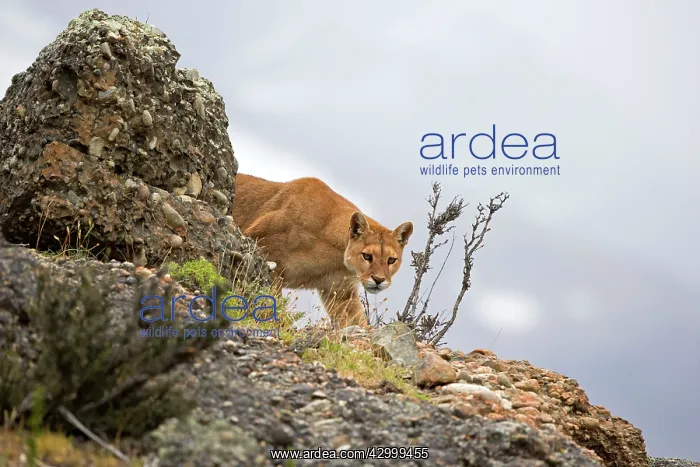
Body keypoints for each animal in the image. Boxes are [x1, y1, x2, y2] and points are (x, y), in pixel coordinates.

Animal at [231, 173, 413, 328]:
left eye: (391, 260)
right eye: (367, 256)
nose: (378, 280)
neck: (337, 258)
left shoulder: (341, 293)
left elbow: (357, 323)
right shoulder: (268, 259)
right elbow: (269, 300)